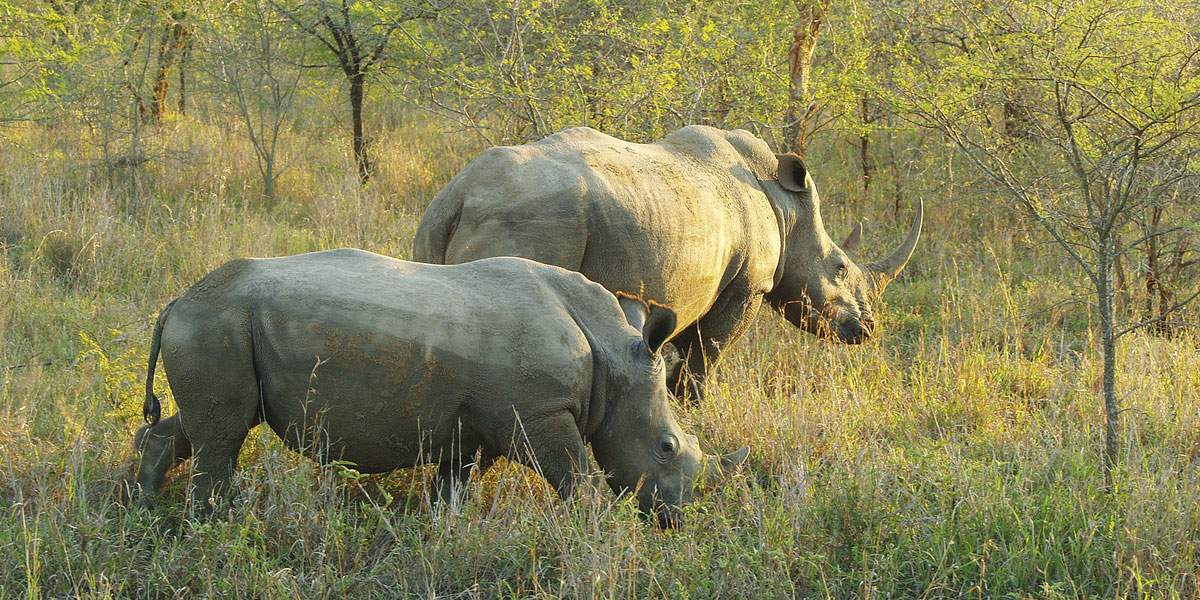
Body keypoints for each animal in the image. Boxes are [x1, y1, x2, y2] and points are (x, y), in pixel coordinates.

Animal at [133, 249, 748, 526]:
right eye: (666, 447)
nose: (675, 518)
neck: (612, 355)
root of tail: (175, 303)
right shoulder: (539, 415)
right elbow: (578, 477)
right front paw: (597, 529)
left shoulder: (474, 425)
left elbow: (454, 485)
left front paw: (441, 532)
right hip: (218, 325)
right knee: (223, 435)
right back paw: (214, 526)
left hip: (217, 328)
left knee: (205, 426)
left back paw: (144, 505)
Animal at [413, 125, 921, 399]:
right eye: (839, 268)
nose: (867, 329)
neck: (785, 206)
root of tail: (458, 195)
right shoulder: (746, 287)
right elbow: (705, 359)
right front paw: (693, 411)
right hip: (533, 219)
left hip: (443, 223)